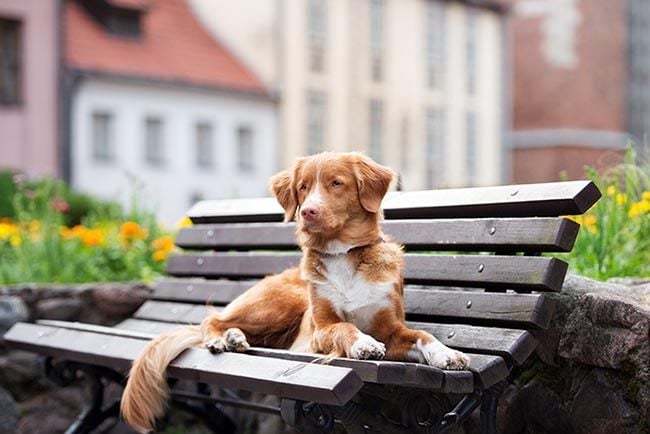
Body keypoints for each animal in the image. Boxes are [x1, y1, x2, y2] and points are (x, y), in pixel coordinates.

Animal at [120, 152, 466, 430]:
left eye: (336, 183)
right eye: (303, 187)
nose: (307, 211)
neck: (344, 254)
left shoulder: (392, 328)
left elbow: (422, 334)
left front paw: (447, 354)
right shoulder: (320, 330)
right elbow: (345, 326)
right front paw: (363, 344)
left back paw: (235, 339)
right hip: (281, 303)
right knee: (213, 319)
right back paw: (221, 339)